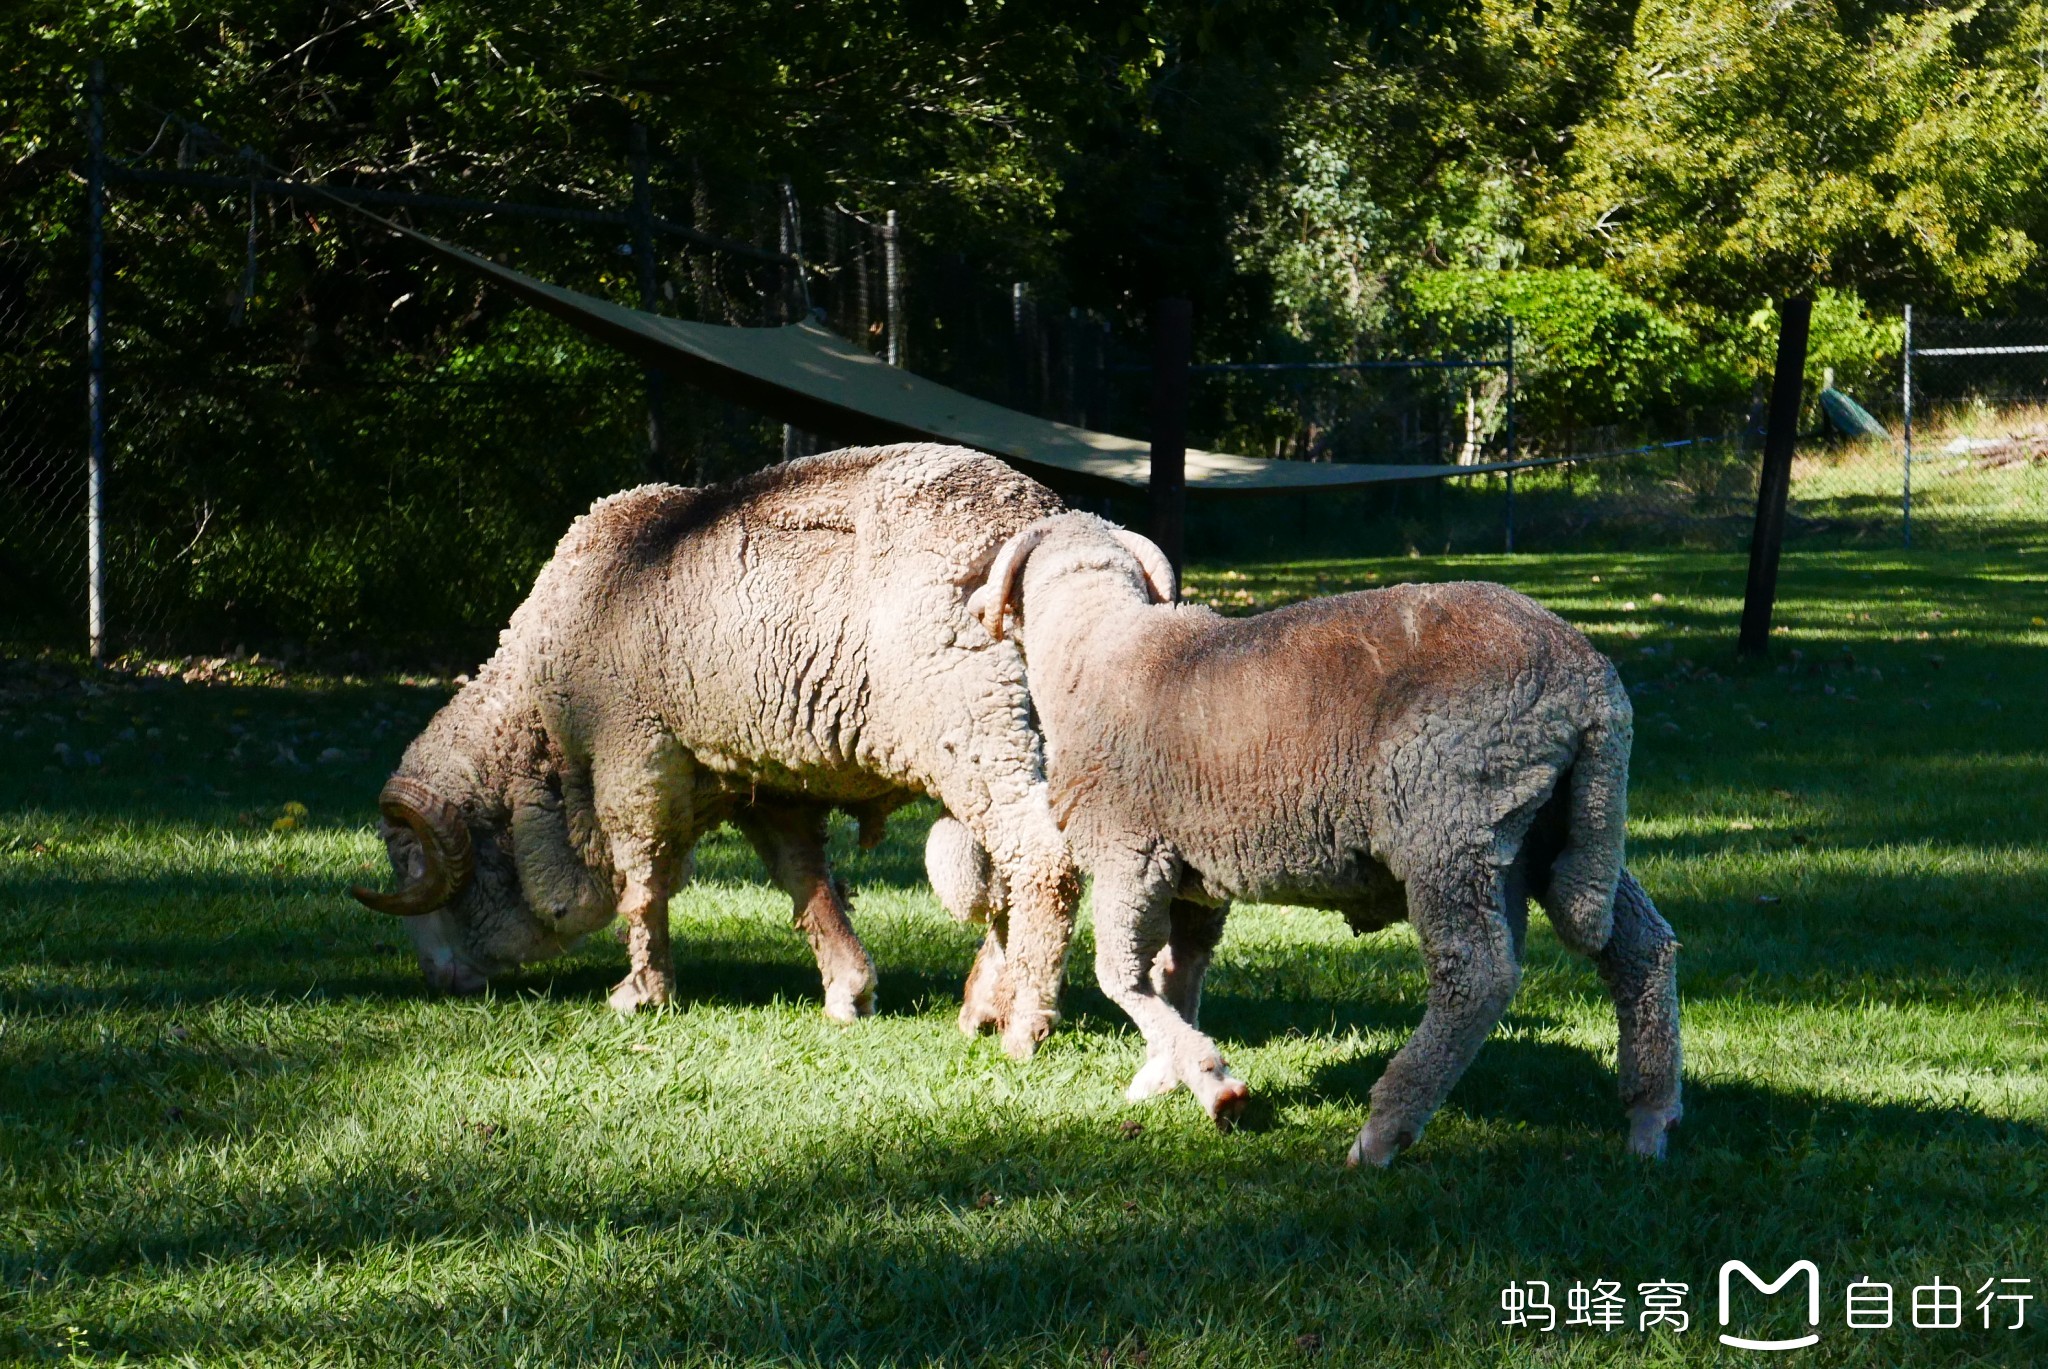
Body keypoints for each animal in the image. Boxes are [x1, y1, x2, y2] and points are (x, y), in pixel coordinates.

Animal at [352, 444, 1089, 1057]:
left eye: (413, 865)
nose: (440, 982)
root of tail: (1041, 519)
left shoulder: (633, 753)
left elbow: (642, 883)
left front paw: (642, 991)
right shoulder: (767, 785)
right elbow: (806, 883)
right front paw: (848, 990)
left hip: (979, 731)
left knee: (1044, 865)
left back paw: (1023, 1025)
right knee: (1011, 873)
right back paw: (984, 1004)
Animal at [966, 512, 1687, 1164]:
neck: (1092, 653)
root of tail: (1588, 678)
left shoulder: (1129, 853)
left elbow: (1122, 977)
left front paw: (1216, 1085)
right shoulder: (1196, 877)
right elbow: (1178, 975)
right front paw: (1167, 1071)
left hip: (1450, 821)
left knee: (1477, 976)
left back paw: (1383, 1131)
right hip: (1552, 827)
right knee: (1641, 947)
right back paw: (1651, 1116)